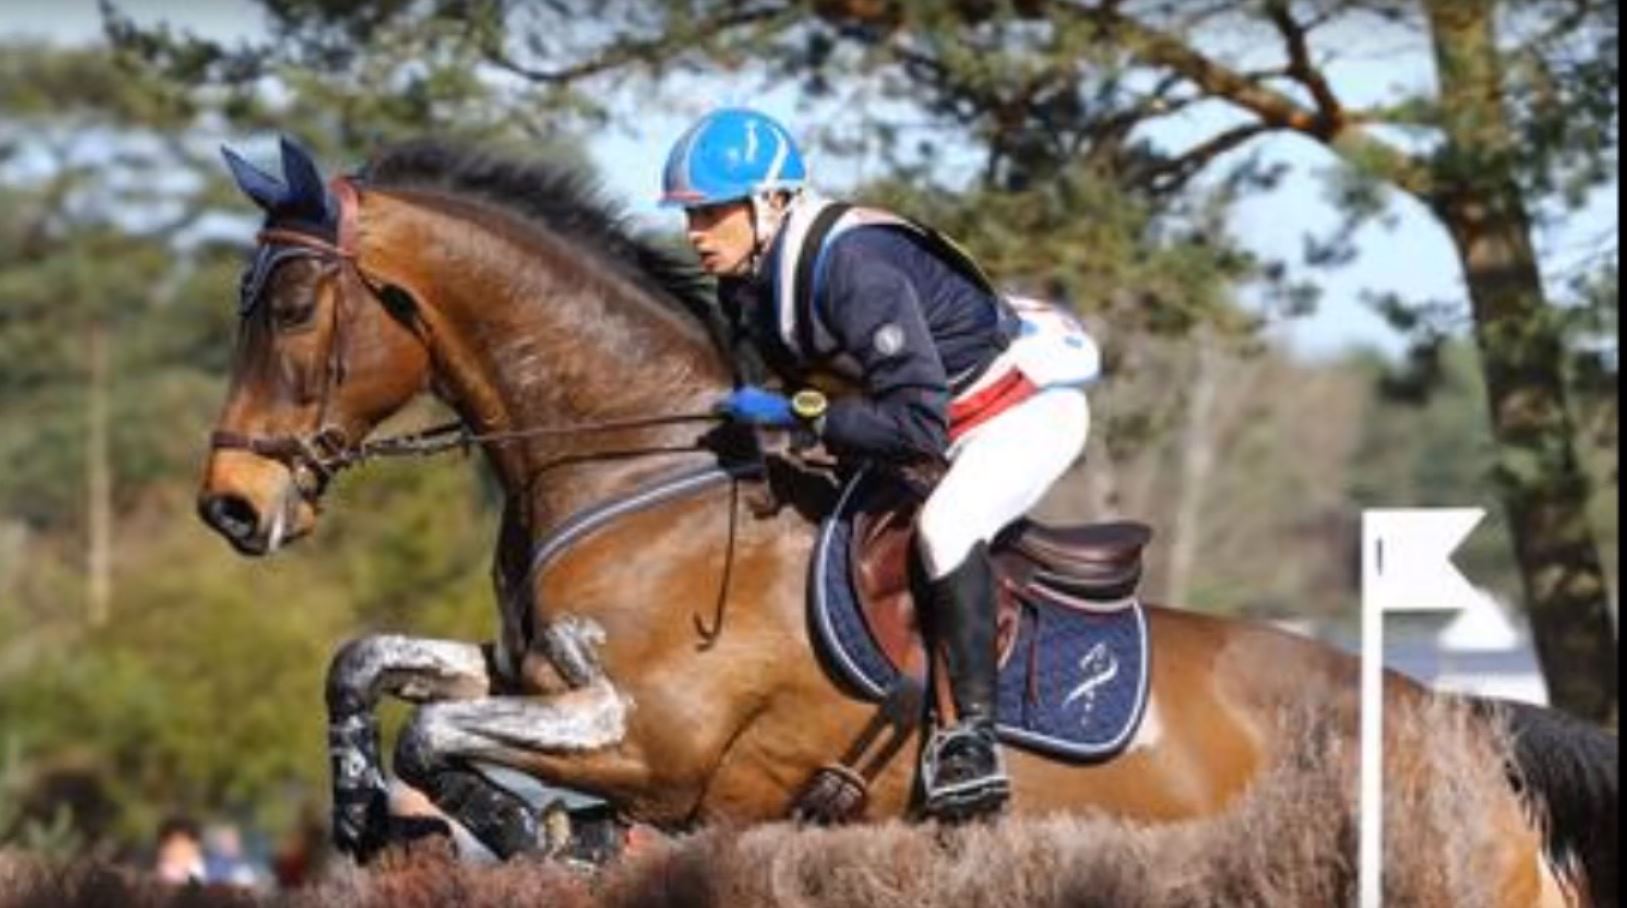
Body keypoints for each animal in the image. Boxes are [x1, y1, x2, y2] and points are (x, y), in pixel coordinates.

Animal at [196, 139, 1607, 904]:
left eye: (293, 307)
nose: (231, 504)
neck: (634, 467)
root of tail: (1464, 724)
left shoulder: (652, 742)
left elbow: (437, 727)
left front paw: (522, 829)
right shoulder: (533, 673)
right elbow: (368, 666)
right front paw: (374, 814)